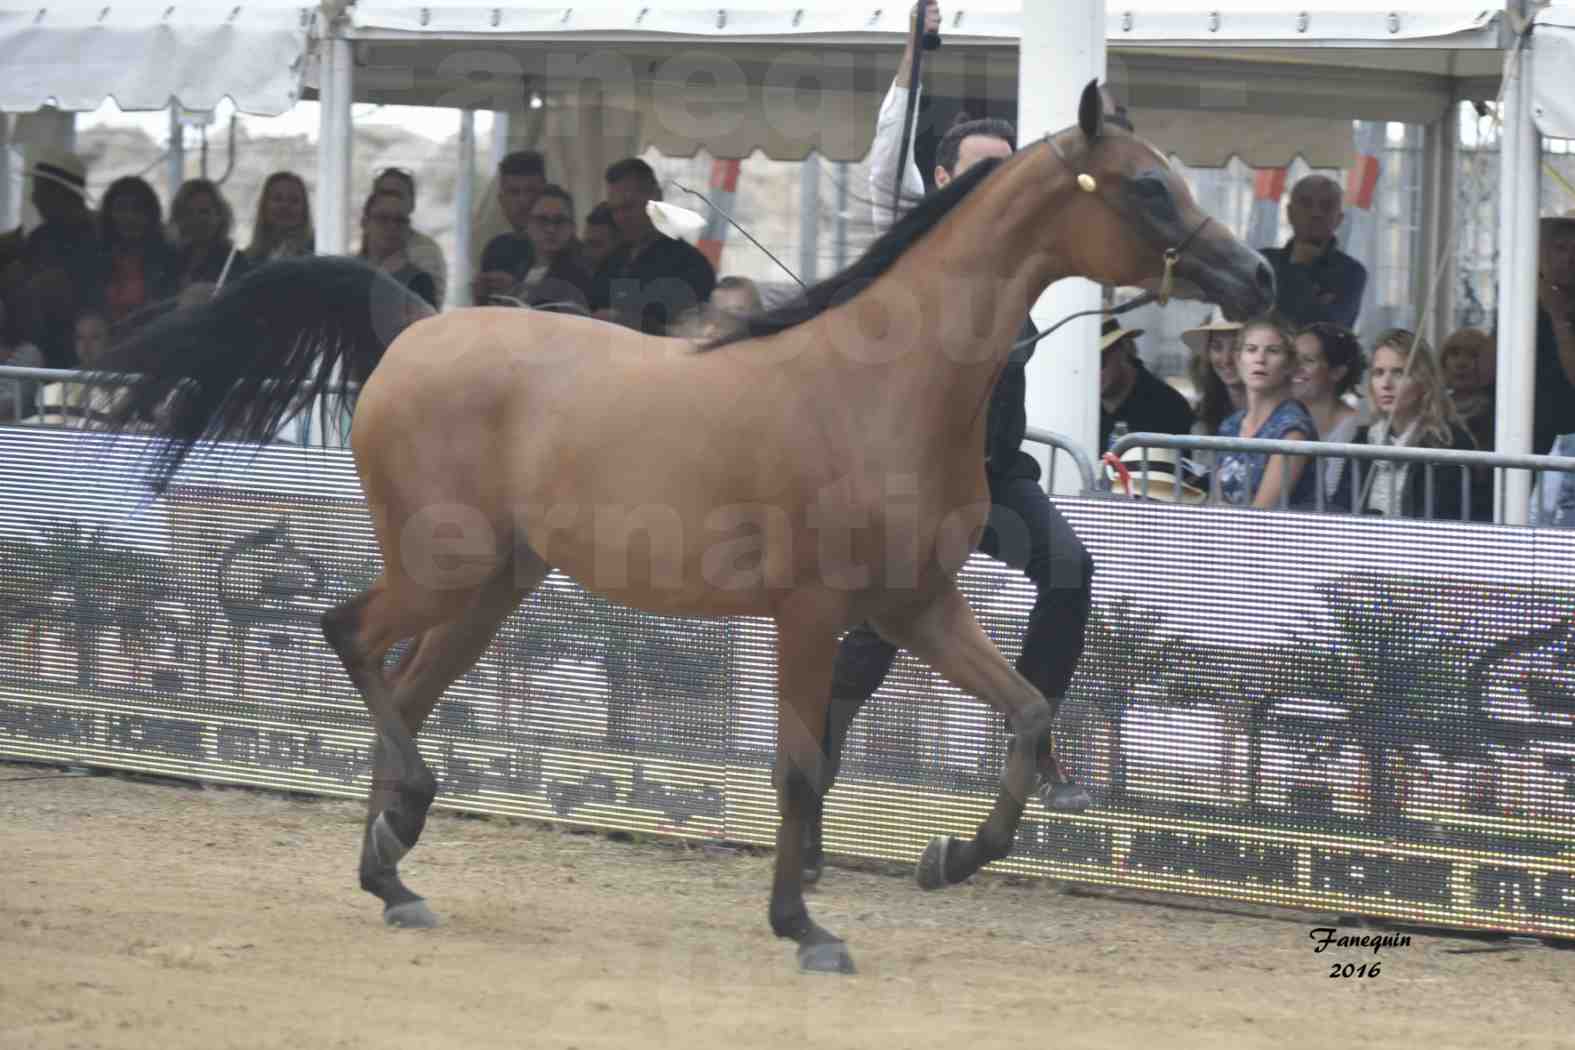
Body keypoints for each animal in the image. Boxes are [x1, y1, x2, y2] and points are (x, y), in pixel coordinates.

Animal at [98, 82, 1272, 976]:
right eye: (1148, 183)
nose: (1256, 275)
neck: (881, 383)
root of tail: (416, 325)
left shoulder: (918, 606)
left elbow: (1025, 714)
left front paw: (946, 857)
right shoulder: (808, 612)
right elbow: (798, 765)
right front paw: (804, 927)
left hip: (492, 588)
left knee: (408, 683)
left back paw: (392, 873)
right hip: (443, 567)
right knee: (346, 634)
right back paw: (406, 826)